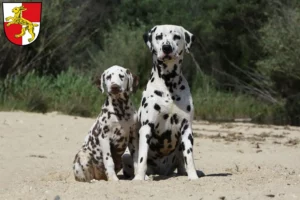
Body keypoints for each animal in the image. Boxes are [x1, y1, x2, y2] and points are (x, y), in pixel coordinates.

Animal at [123, 24, 200, 180]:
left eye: (176, 36)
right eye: (158, 36)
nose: (166, 47)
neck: (169, 85)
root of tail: (162, 171)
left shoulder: (186, 128)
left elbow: (189, 157)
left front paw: (193, 176)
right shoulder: (146, 128)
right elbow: (142, 158)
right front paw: (139, 178)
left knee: (182, 163)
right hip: (127, 157)